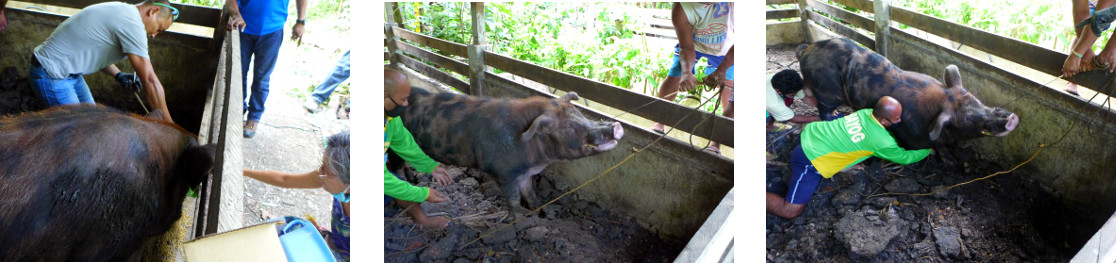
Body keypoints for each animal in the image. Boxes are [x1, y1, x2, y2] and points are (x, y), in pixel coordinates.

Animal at [395, 88, 624, 216]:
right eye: (568, 127)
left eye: (580, 114)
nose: (616, 126)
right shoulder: (504, 174)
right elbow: (513, 199)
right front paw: (519, 219)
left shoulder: (526, 174)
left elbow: (530, 193)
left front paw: (540, 209)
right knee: (395, 167)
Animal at [794, 38, 1022, 150]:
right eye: (968, 118)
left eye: (979, 101)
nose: (1011, 117)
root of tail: (807, 49)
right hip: (827, 91)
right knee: (823, 109)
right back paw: (832, 117)